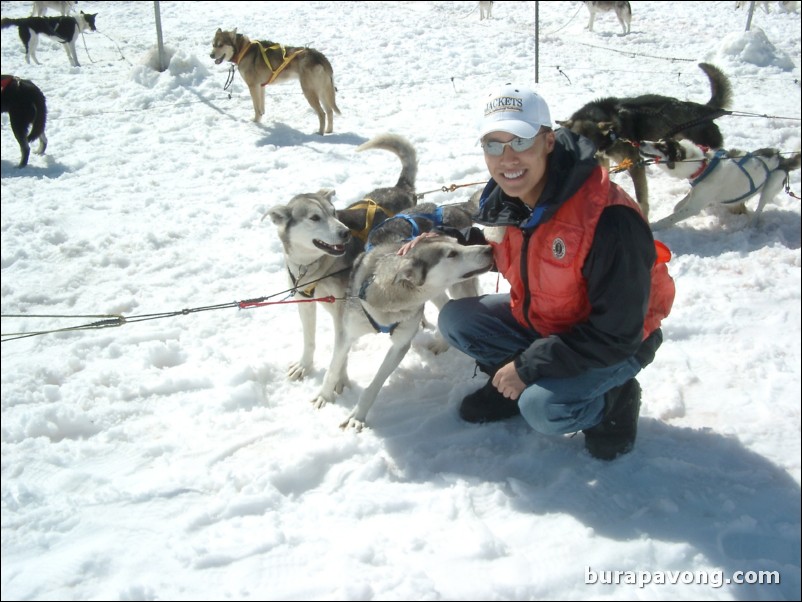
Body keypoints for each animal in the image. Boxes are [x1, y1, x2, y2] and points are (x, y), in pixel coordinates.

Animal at [209, 27, 338, 134]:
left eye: (220, 45)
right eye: (213, 44)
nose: (211, 55)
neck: (243, 50)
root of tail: (319, 56)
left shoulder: (253, 86)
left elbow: (256, 108)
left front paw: (255, 122)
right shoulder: (261, 86)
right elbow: (261, 107)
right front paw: (261, 118)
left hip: (309, 92)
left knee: (322, 113)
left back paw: (320, 133)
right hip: (322, 92)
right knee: (329, 111)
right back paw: (329, 131)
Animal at [268, 135, 418, 380]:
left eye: (333, 212)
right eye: (315, 217)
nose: (345, 233)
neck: (315, 266)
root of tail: (399, 188)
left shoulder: (343, 310)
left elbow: (342, 350)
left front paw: (339, 381)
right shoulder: (305, 304)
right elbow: (309, 340)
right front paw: (305, 365)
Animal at [312, 237, 494, 428]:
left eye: (458, 242)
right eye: (452, 253)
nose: (489, 249)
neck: (390, 300)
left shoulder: (400, 345)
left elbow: (374, 385)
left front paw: (358, 416)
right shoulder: (347, 334)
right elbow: (333, 369)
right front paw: (324, 396)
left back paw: (442, 344)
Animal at [556, 60, 732, 216]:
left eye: (588, 144)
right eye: (574, 142)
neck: (612, 133)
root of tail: (705, 110)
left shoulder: (635, 164)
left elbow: (641, 199)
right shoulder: (603, 159)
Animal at [636, 137, 796, 229]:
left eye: (661, 147)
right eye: (657, 141)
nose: (641, 142)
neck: (702, 164)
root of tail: (783, 159)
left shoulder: (694, 206)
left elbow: (670, 218)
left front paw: (654, 226)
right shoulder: (696, 192)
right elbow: (678, 205)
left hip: (771, 185)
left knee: (759, 210)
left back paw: (750, 225)